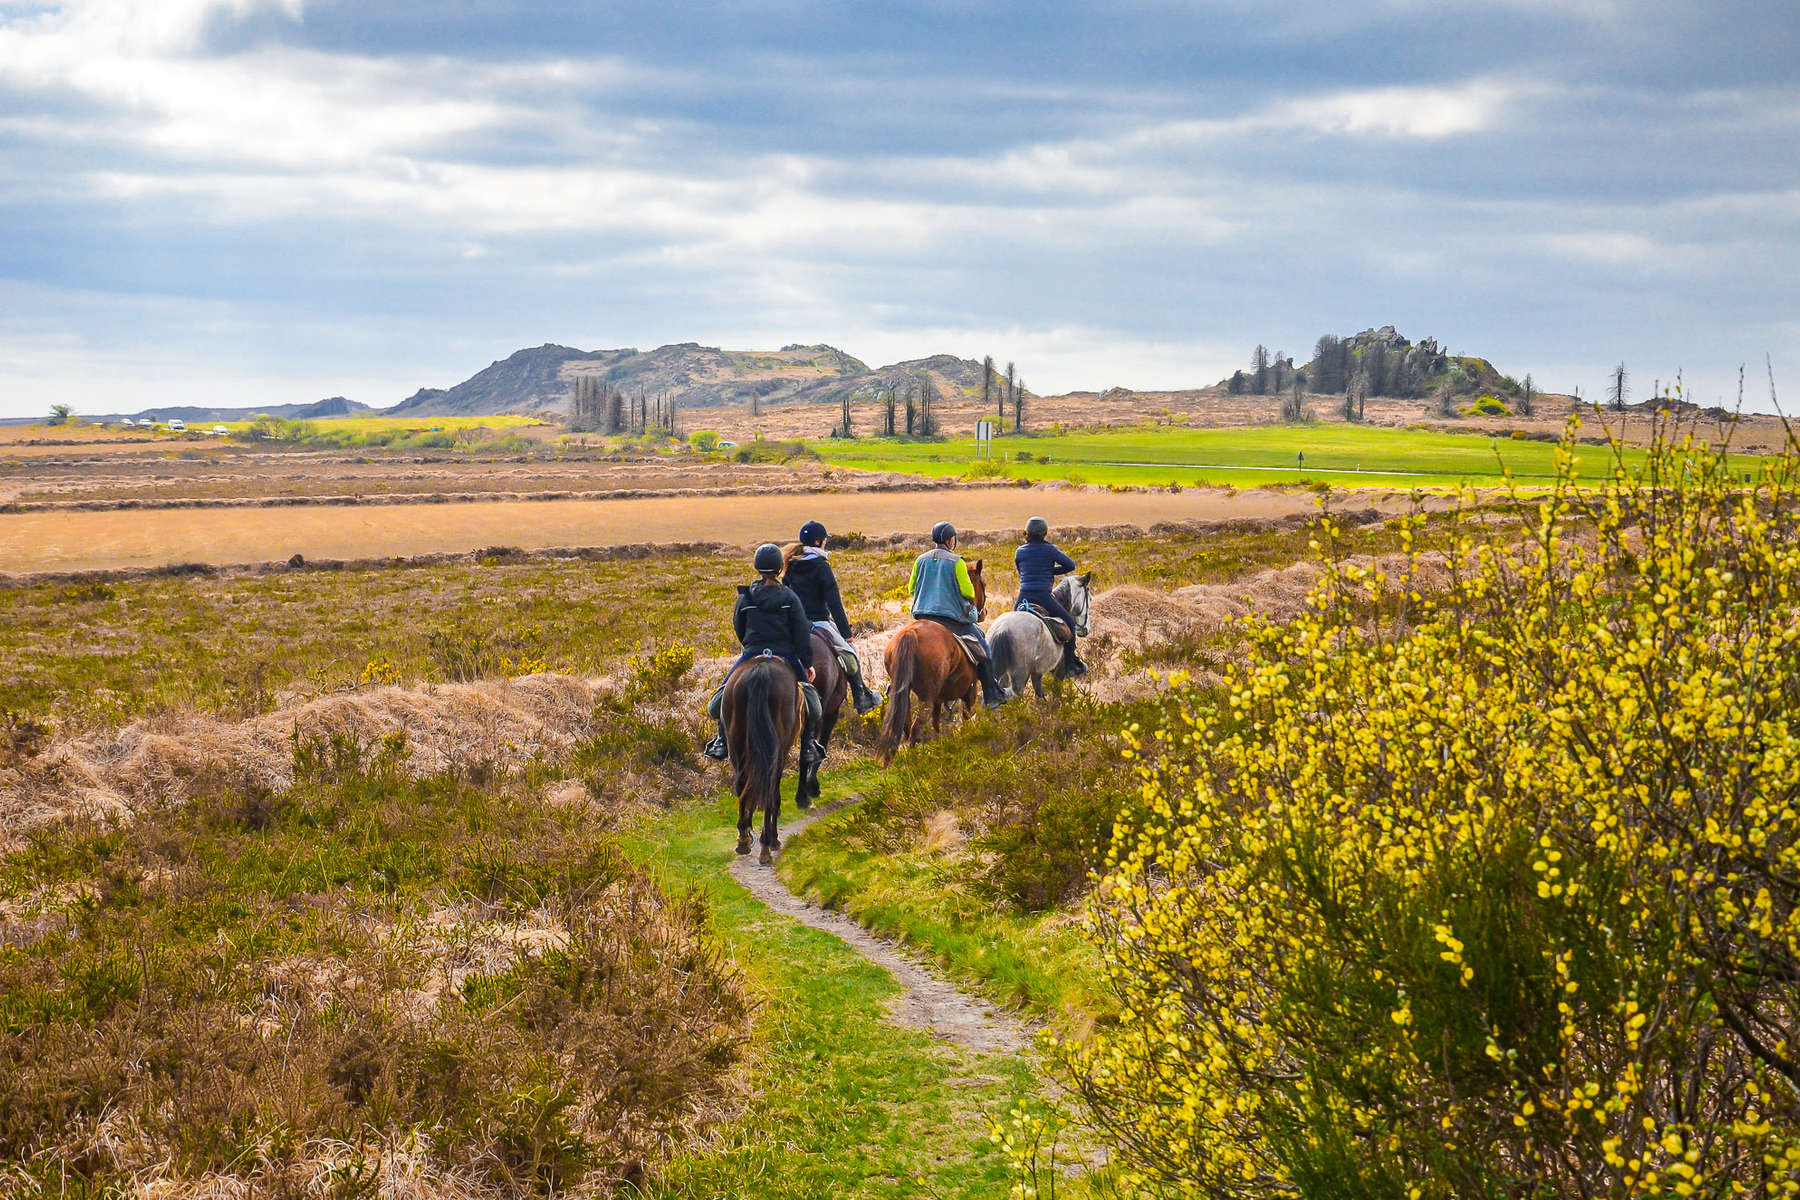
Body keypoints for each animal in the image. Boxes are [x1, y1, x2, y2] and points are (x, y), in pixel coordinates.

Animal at [716, 658, 802, 863]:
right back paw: (766, 844)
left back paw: (743, 840)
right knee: (769, 787)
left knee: (742, 784)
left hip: (736, 741)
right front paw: (774, 839)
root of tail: (761, 670)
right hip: (776, 749)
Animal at [878, 557, 993, 766]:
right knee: (915, 728)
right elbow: (965, 717)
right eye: (983, 584)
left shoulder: (940, 699)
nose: (983, 613)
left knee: (907, 727)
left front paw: (940, 746)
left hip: (905, 695)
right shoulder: (970, 691)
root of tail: (910, 634)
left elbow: (936, 723)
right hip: (927, 696)